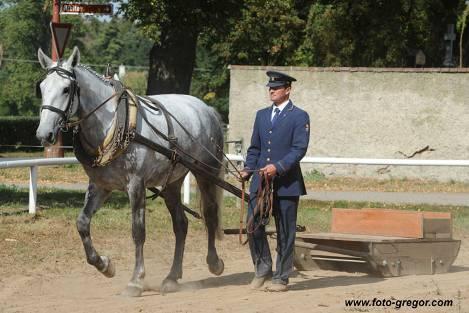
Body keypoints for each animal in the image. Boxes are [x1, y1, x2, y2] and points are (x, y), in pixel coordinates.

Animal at [35, 47, 225, 296]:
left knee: (211, 215)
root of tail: (207, 109)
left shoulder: (136, 185)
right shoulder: (100, 186)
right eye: (41, 88)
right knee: (181, 225)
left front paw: (136, 280)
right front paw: (104, 265)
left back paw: (214, 262)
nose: (44, 133)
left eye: (66, 89)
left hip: (205, 172)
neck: (113, 123)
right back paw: (172, 277)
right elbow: (82, 223)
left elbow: (138, 232)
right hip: (172, 182)